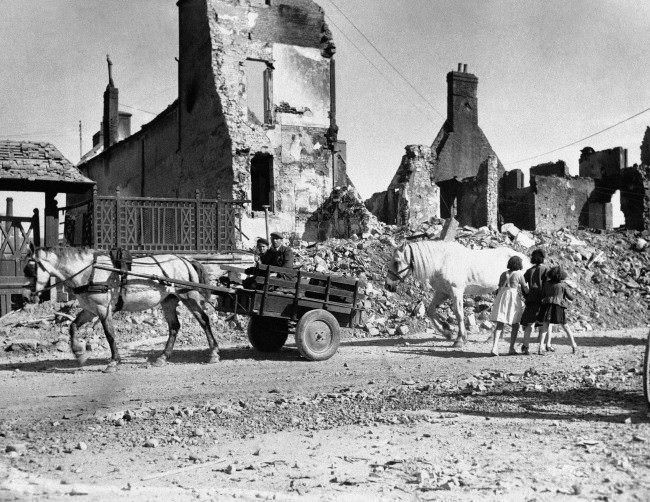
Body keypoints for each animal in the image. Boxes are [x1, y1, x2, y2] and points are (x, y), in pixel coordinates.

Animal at [384, 242, 528, 346]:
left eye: (396, 261)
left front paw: (459, 339)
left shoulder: (456, 291)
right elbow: (431, 311)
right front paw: (446, 331)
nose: (388, 285)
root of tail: (524, 258)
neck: (441, 262)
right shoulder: (443, 292)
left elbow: (459, 314)